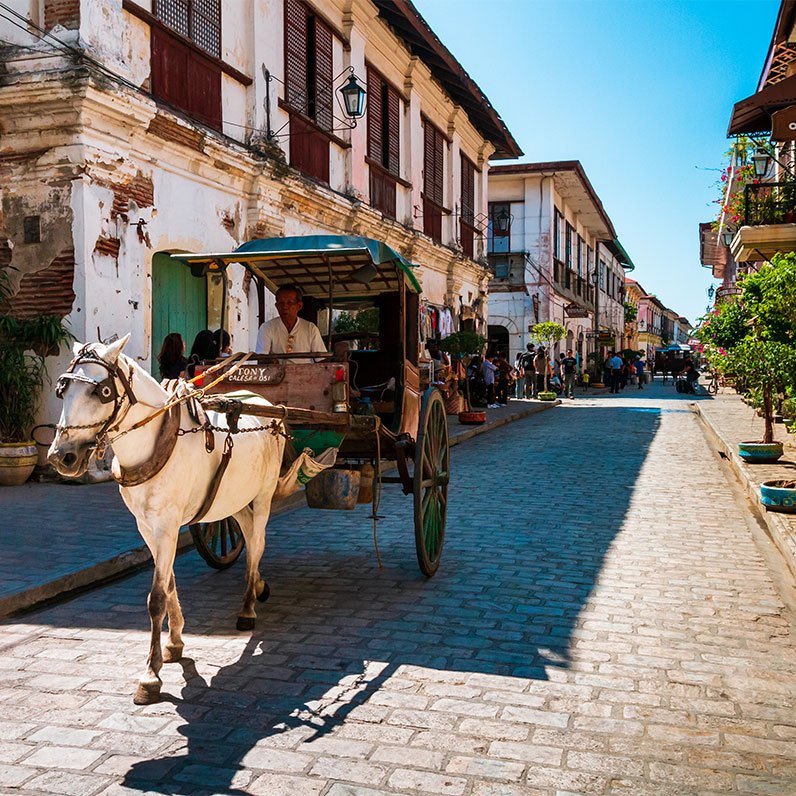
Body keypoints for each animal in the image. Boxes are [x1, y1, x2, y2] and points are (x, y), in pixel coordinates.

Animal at [47, 336, 286, 704]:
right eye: (63, 390)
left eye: (103, 392)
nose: (62, 457)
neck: (157, 441)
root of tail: (266, 404)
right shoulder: (148, 528)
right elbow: (169, 583)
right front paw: (174, 643)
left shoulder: (167, 526)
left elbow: (156, 597)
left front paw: (150, 676)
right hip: (233, 500)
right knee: (249, 539)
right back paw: (258, 585)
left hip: (262, 496)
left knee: (258, 544)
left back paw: (247, 607)